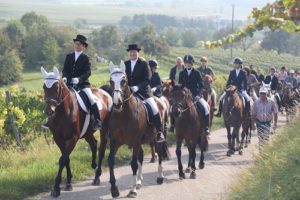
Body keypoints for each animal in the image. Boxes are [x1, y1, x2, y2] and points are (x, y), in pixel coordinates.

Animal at [40, 67, 112, 197]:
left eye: (56, 87)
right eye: (44, 87)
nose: (49, 111)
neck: (63, 112)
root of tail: (105, 93)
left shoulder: (72, 138)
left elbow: (62, 160)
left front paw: (56, 188)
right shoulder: (59, 139)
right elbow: (66, 159)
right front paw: (68, 183)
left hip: (104, 129)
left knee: (101, 149)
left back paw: (97, 177)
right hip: (88, 133)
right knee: (94, 144)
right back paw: (93, 165)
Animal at [108, 61, 170, 199]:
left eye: (123, 80)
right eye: (111, 81)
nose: (117, 103)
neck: (123, 115)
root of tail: (160, 101)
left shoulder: (135, 142)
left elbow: (134, 164)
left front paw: (132, 191)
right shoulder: (115, 142)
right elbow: (111, 161)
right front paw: (114, 190)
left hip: (157, 137)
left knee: (159, 154)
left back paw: (160, 177)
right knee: (141, 157)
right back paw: (139, 182)